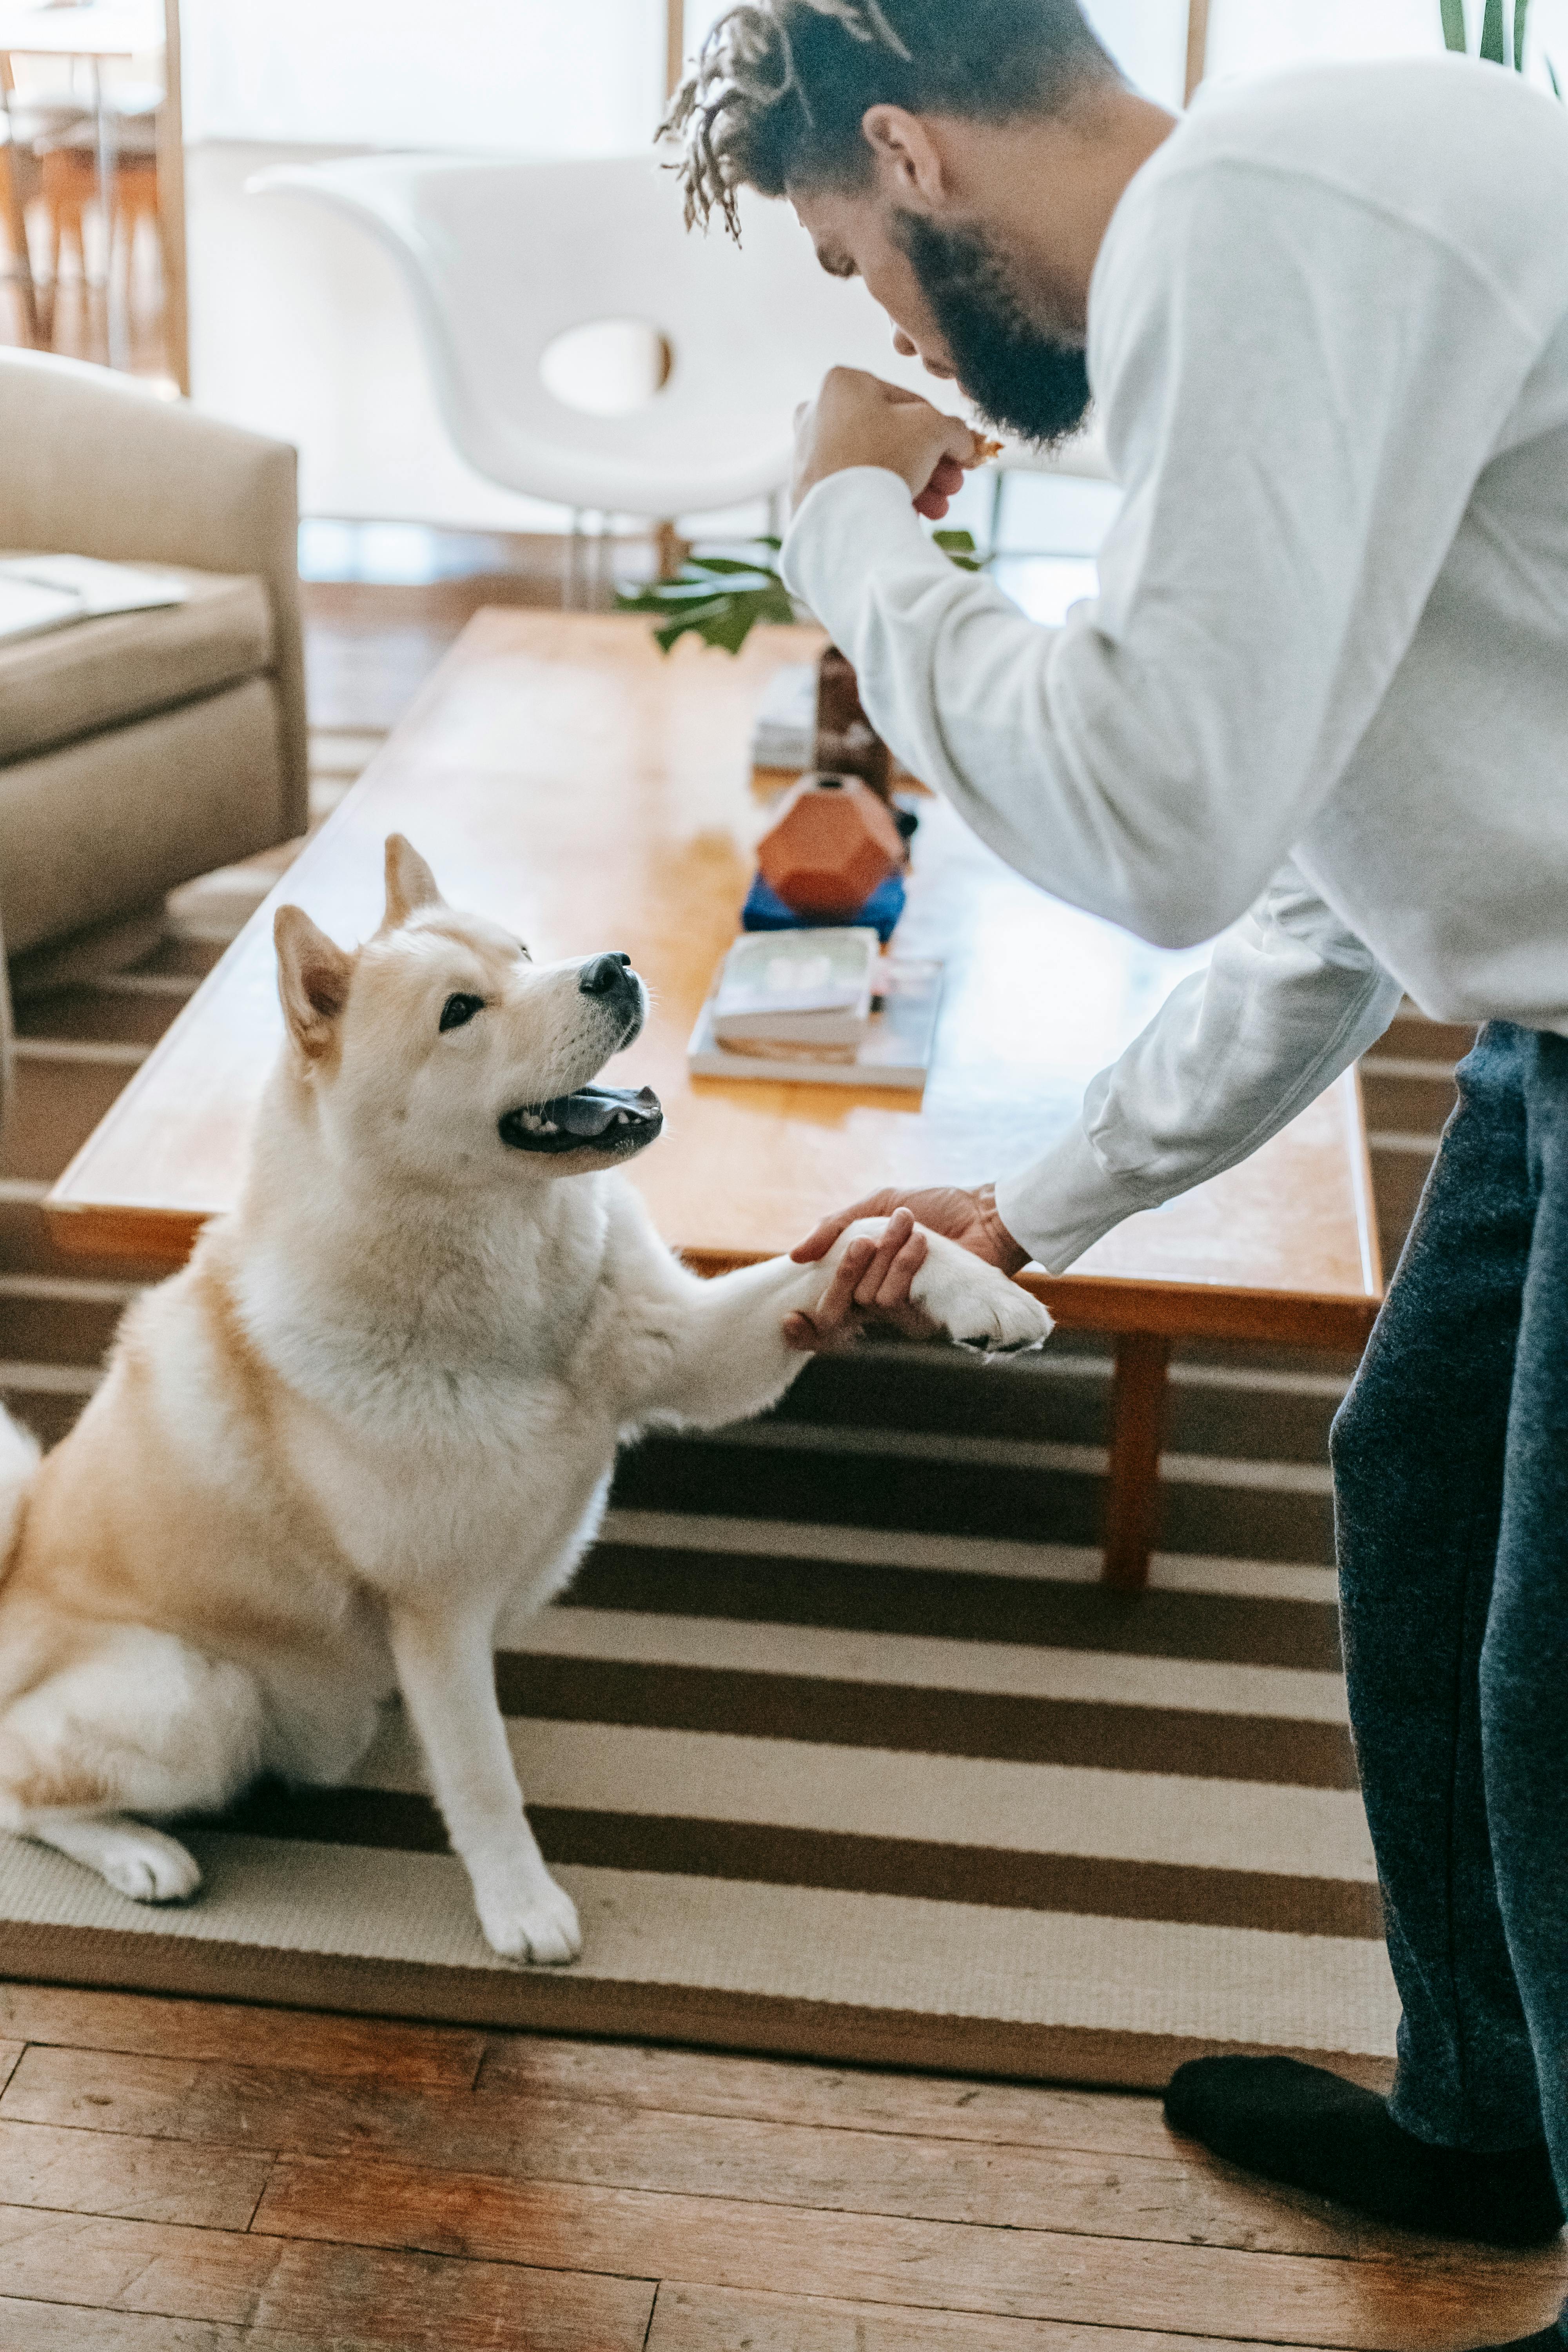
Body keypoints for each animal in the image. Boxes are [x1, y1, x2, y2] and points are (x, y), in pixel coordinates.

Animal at [0, 837, 1062, 1957]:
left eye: (521, 951)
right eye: (460, 1011)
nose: (611, 967)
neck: (523, 1308)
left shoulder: (695, 1354)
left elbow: (863, 1236)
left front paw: (976, 1287)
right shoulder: (438, 1612)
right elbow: (482, 1779)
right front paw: (520, 1906)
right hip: (197, 1699)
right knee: (24, 1796)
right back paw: (140, 1854)